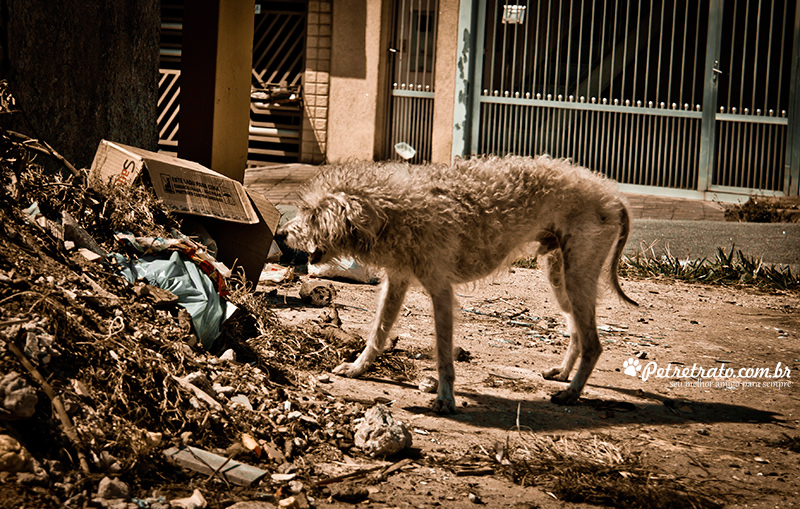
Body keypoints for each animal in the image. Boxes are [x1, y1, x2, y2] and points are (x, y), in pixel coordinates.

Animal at [278, 155, 640, 412]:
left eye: (312, 215)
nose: (281, 233)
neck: (390, 209)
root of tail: (612, 194)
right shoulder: (397, 282)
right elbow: (378, 333)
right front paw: (357, 369)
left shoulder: (441, 291)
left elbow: (442, 352)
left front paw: (446, 398)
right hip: (560, 279)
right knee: (577, 331)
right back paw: (564, 375)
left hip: (577, 278)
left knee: (594, 344)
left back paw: (571, 393)